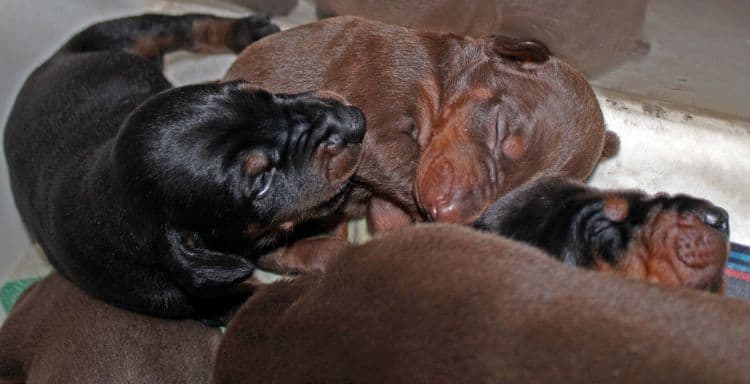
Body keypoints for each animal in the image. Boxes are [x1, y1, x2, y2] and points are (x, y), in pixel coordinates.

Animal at [2, 14, 368, 324]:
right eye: (262, 181)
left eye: (263, 94)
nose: (354, 120)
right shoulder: (208, 300)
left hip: (117, 34)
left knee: (179, 25)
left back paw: (249, 31)